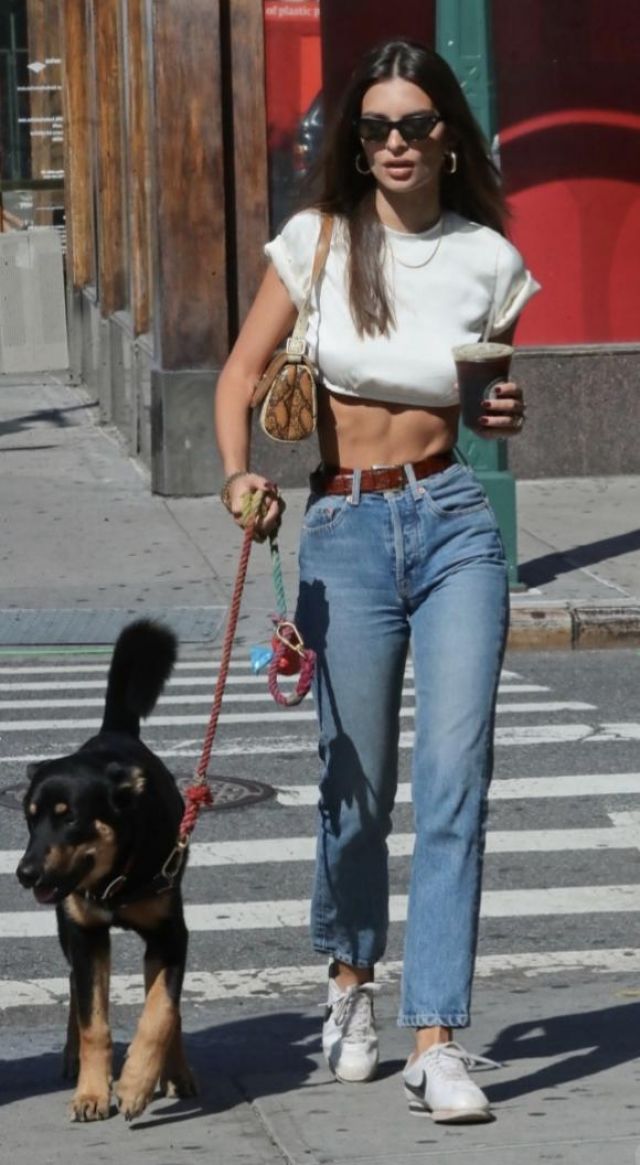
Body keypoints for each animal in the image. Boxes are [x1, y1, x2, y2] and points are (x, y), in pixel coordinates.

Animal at [16, 619, 195, 1118]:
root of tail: (114, 732)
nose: (25, 874)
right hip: (68, 928)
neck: (118, 880)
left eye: (69, 817)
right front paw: (94, 1092)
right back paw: (72, 1057)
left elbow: (162, 1012)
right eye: (30, 817)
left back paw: (176, 1073)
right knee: (75, 990)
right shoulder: (86, 936)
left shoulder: (170, 936)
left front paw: (137, 1082)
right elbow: (93, 1020)